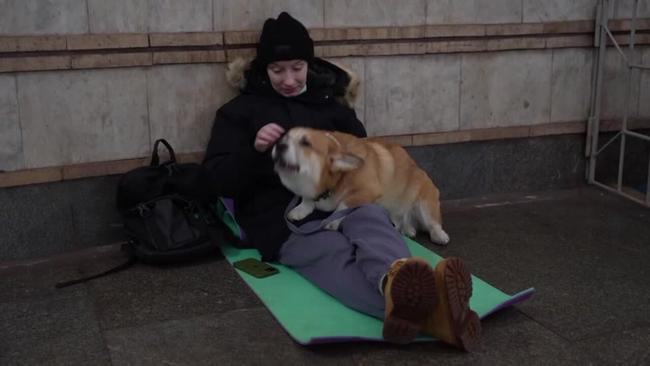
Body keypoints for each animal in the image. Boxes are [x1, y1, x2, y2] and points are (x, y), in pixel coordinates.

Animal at [268, 127, 446, 244]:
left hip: (425, 203)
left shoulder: (368, 191)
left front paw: (333, 220)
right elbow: (306, 200)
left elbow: (343, 203)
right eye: (284, 138)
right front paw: (300, 210)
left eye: (306, 143)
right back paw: (407, 228)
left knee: (433, 223)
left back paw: (440, 235)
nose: (279, 144)